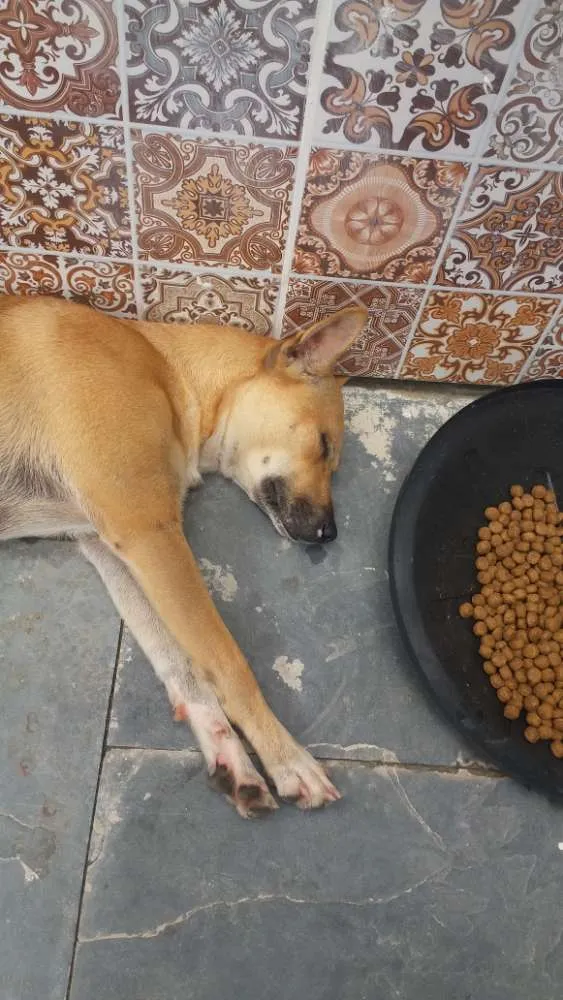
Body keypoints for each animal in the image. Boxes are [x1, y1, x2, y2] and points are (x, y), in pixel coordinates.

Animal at [0, 292, 368, 816]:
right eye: (322, 445)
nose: (329, 534)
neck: (168, 370)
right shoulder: (149, 533)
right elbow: (227, 661)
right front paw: (286, 758)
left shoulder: (115, 547)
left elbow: (180, 659)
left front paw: (228, 751)